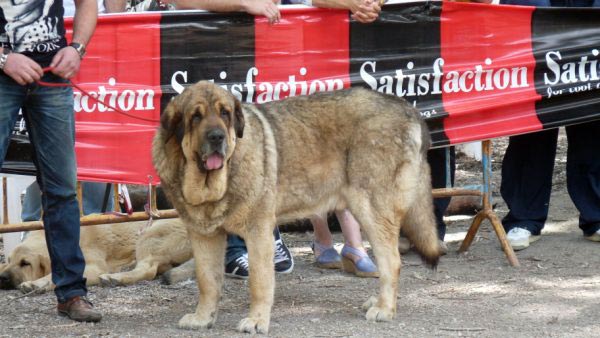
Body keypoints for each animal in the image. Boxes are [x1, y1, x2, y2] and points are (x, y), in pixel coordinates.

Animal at [152, 81, 442, 332]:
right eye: (195, 117)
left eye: (225, 113)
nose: (217, 137)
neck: (210, 184)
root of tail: (409, 110)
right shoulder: (204, 236)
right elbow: (207, 281)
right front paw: (203, 318)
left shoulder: (258, 232)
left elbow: (259, 281)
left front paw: (257, 321)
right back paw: (379, 301)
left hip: (370, 208)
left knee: (391, 261)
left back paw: (384, 308)